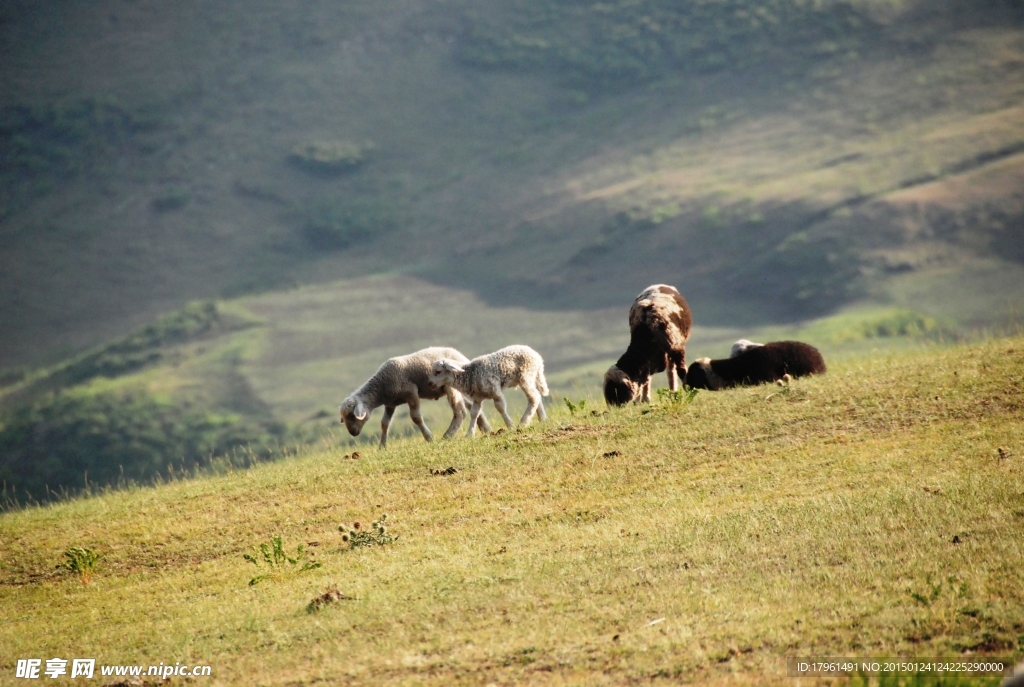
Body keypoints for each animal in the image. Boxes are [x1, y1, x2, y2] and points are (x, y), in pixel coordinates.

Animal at [337, 346, 489, 448]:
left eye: (352, 415)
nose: (353, 433)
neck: (381, 388)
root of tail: (461, 357)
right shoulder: (390, 404)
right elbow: (384, 423)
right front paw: (382, 446)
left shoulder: (411, 393)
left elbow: (416, 417)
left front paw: (429, 438)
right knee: (471, 405)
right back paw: (486, 429)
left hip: (449, 386)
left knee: (460, 411)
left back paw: (448, 435)